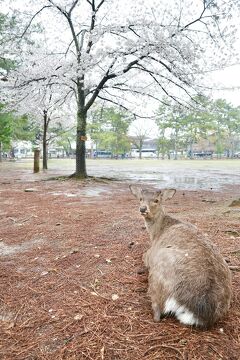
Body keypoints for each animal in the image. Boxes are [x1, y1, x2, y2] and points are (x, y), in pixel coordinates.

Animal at [129, 186, 232, 330]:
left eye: (156, 200)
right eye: (140, 198)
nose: (143, 209)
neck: (155, 234)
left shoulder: (150, 254)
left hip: (160, 266)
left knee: (157, 313)